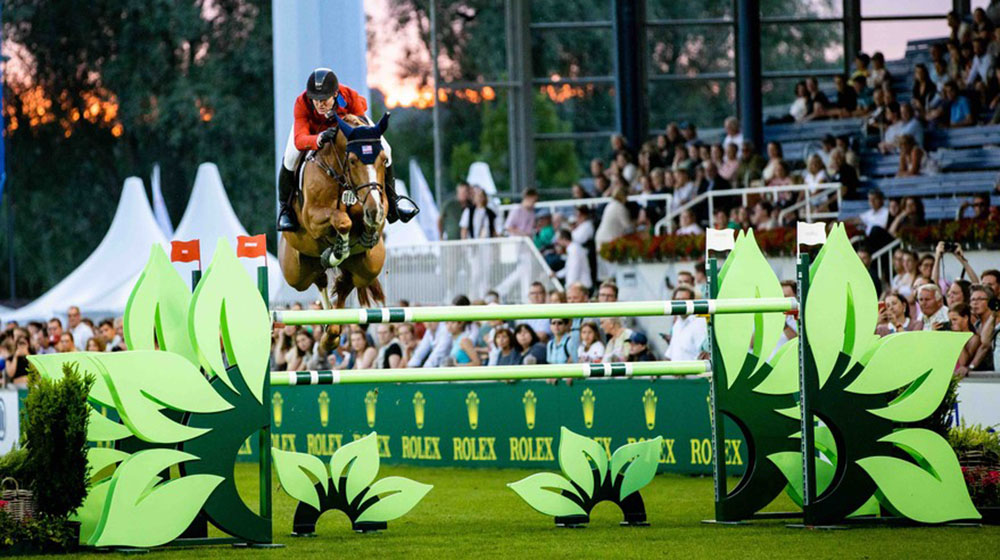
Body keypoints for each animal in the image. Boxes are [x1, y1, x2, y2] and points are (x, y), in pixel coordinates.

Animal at [282, 112, 394, 344]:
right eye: (352, 160)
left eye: (384, 160)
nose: (374, 210)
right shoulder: (312, 217)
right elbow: (342, 220)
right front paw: (338, 249)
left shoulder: (380, 203)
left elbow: (368, 220)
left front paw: (367, 230)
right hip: (296, 273)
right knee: (319, 278)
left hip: (369, 267)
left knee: (344, 284)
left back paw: (332, 329)